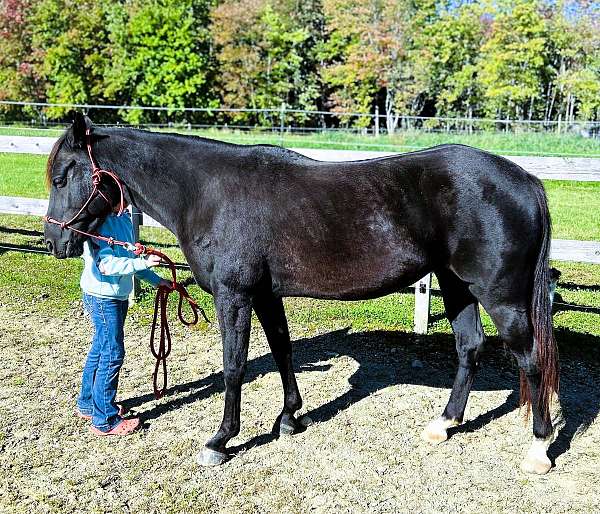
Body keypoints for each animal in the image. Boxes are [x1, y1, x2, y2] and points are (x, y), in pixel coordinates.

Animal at [44, 112, 560, 472]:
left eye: (62, 177)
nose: (54, 242)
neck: (207, 193)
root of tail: (526, 180)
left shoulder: (234, 296)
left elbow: (234, 367)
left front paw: (220, 440)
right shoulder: (266, 295)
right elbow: (282, 351)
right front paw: (290, 418)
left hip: (501, 296)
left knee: (531, 359)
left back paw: (538, 448)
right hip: (457, 286)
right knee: (469, 346)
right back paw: (444, 424)